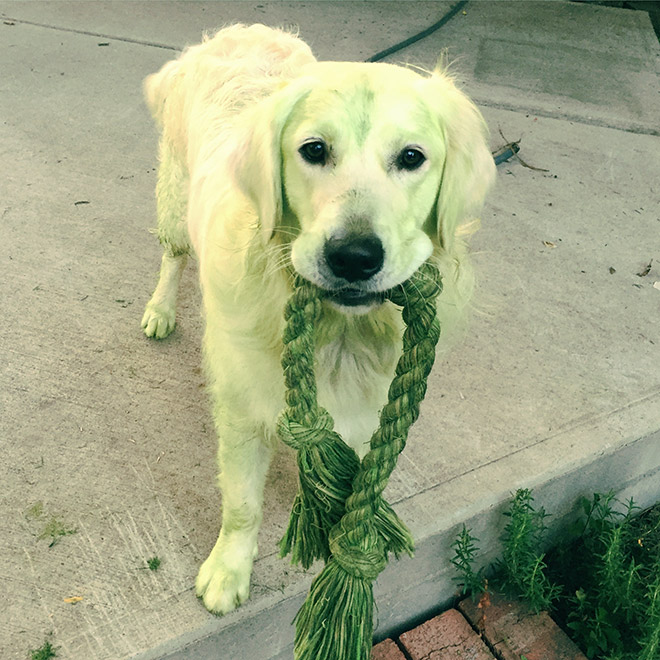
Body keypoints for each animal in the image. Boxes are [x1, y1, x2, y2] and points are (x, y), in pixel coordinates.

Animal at [141, 24, 496, 612]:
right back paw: (160, 310)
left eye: (412, 157)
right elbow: (242, 503)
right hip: (173, 197)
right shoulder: (240, 406)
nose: (353, 257)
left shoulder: (365, 412)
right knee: (172, 256)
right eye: (314, 150)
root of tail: (233, 32)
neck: (341, 333)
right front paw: (228, 571)